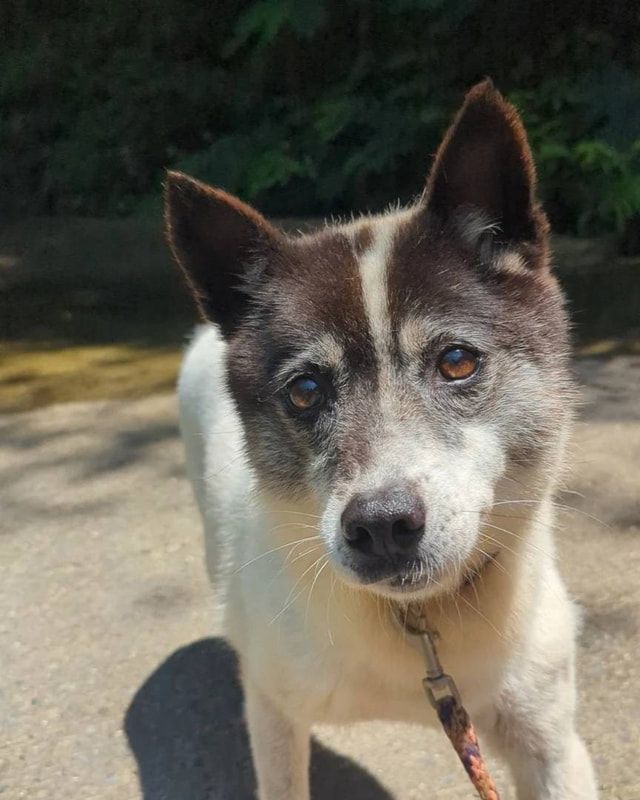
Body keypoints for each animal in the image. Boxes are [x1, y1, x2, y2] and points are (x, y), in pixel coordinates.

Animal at [168, 83, 596, 800]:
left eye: (457, 360)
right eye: (305, 390)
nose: (382, 526)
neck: (417, 618)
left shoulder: (552, 745)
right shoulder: (274, 713)